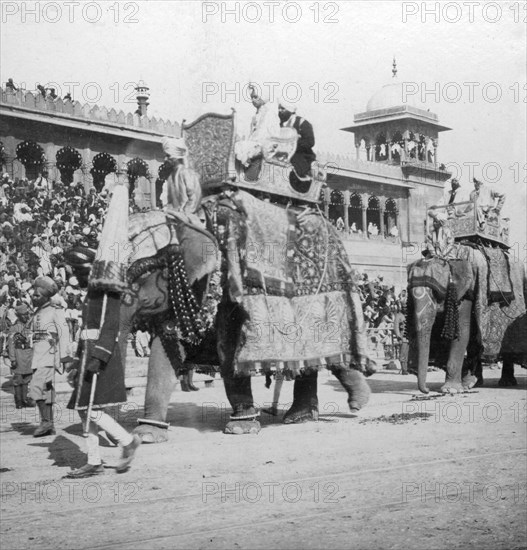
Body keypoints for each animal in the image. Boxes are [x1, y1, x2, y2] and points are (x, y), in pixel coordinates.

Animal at [119, 190, 376, 444]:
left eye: (141, 278)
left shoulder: (230, 280)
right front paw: (147, 434)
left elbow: (229, 350)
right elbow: (165, 352)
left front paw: (240, 427)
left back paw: (354, 402)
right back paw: (303, 415)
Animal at [406, 244, 524, 394]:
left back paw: (506, 383)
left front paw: (450, 390)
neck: (449, 259)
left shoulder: (466, 291)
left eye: (434, 293)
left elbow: (462, 330)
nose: (427, 390)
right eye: (410, 296)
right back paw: (474, 382)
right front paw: (464, 384)